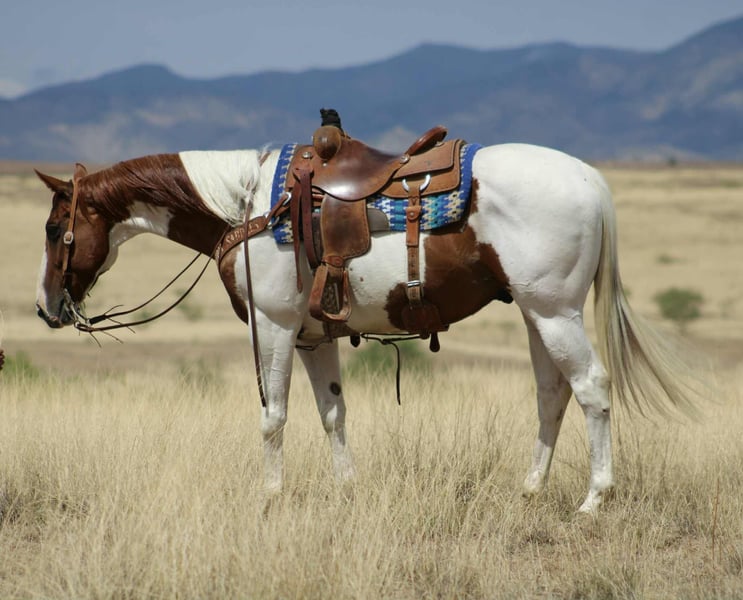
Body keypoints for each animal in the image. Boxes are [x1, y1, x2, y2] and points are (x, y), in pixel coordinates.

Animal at [34, 141, 700, 513]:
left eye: (53, 229)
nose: (45, 308)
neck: (247, 205)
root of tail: (591, 179)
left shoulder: (273, 327)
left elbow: (273, 417)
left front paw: (270, 497)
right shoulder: (311, 337)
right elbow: (333, 412)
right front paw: (345, 489)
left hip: (557, 313)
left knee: (591, 388)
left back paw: (594, 499)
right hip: (537, 315)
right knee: (551, 395)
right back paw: (531, 489)